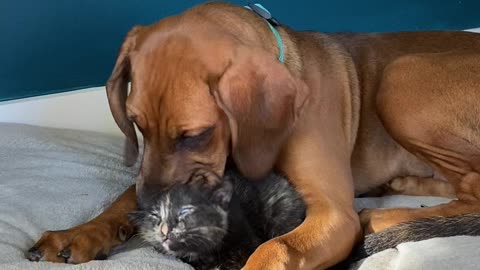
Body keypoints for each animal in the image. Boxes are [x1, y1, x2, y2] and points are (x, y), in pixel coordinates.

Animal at [27, 1, 480, 268]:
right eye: (137, 123)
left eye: (194, 134)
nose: (155, 214)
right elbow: (123, 197)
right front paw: (82, 231)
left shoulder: (333, 213)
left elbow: (274, 246)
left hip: (400, 79)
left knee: (473, 190)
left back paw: (384, 215)